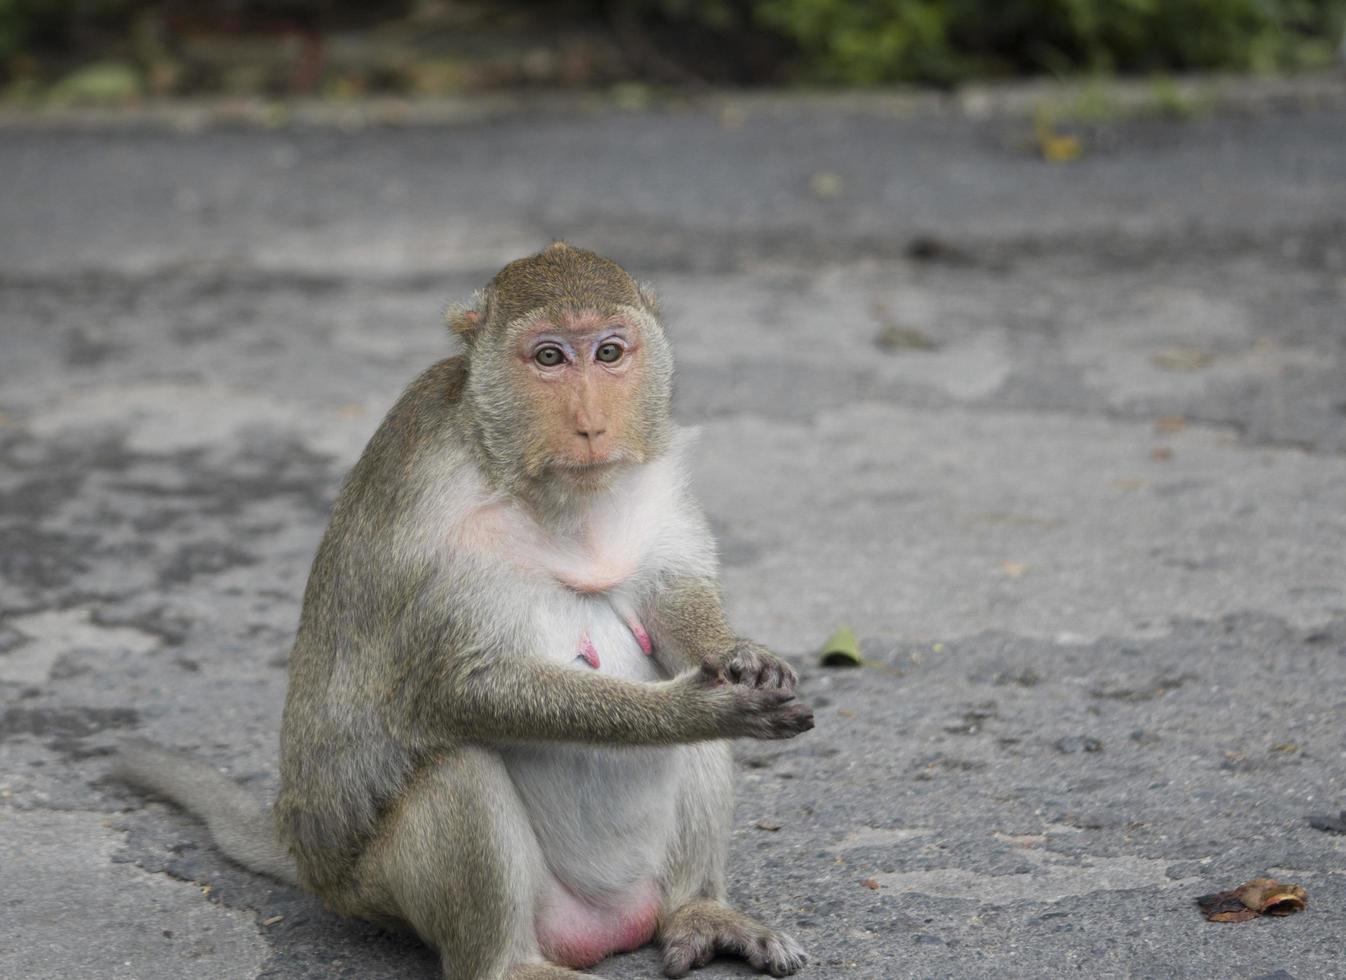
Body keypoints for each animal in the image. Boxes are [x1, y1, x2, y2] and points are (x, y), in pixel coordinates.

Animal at [113, 239, 807, 980]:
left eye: (610, 352)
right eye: (550, 357)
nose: (591, 425)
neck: (527, 481)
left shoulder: (653, 482)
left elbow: (674, 603)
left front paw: (738, 656)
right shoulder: (437, 528)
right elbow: (468, 689)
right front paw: (692, 708)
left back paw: (697, 912)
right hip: (381, 888)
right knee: (457, 772)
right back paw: (510, 964)